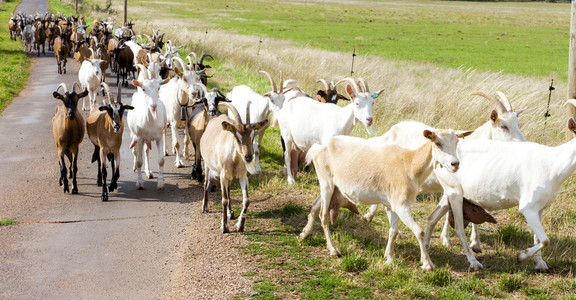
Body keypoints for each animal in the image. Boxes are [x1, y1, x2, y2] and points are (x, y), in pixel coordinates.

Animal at [199, 102, 268, 233]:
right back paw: (204, 207)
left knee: (229, 189)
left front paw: (240, 225)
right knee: (205, 184)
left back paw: (230, 213)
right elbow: (224, 200)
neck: (234, 159)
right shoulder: (223, 176)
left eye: (252, 135)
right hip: (207, 165)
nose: (248, 157)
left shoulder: (242, 176)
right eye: (236, 136)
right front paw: (224, 227)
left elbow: (246, 200)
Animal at [300, 129, 470, 270]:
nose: (455, 164)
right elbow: (419, 232)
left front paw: (389, 257)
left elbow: (393, 231)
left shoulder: (392, 205)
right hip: (326, 182)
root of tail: (318, 147)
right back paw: (333, 249)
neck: (410, 165)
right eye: (437, 143)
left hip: (333, 186)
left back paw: (304, 234)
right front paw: (427, 263)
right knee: (323, 215)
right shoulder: (401, 205)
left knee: (315, 206)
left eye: (456, 142)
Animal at [426, 110, 576, 272]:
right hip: (454, 192)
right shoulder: (528, 207)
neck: (552, 165)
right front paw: (520, 256)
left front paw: (540, 264)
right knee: (459, 227)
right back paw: (473, 262)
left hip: (450, 192)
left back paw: (427, 251)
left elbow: (539, 238)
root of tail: (437, 159)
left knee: (432, 217)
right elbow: (545, 240)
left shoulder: (540, 207)